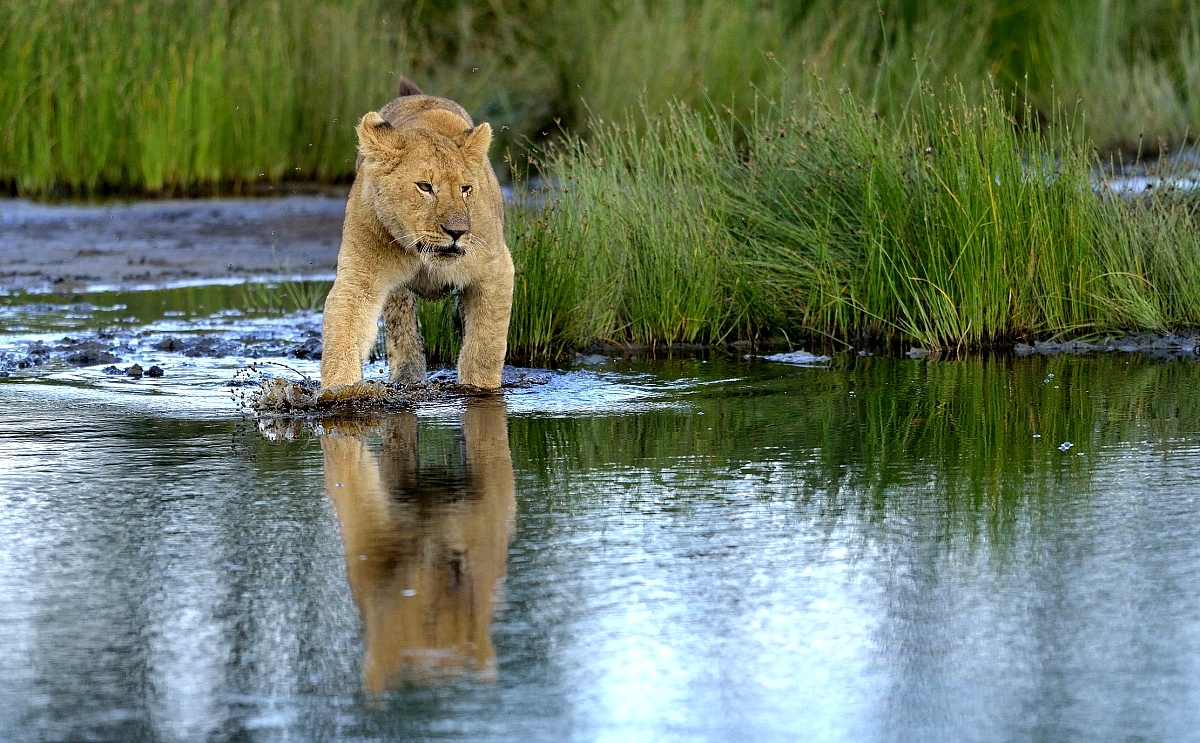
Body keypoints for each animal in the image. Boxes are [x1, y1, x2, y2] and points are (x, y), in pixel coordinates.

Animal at [319, 79, 511, 396]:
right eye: (425, 187)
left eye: (466, 189)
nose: (457, 232)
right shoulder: (359, 277)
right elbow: (343, 327)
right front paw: (340, 390)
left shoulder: (495, 271)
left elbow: (485, 345)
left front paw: (480, 390)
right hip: (397, 296)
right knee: (402, 329)